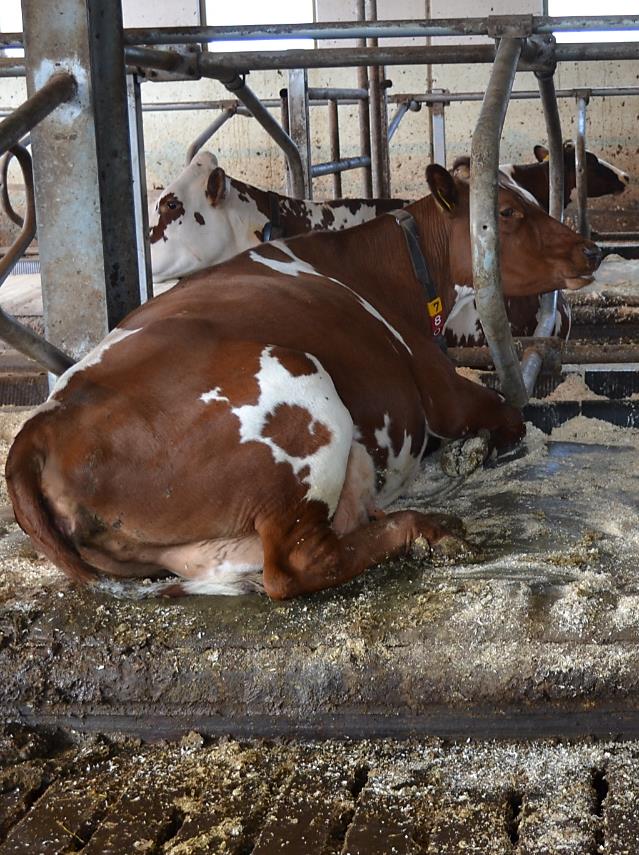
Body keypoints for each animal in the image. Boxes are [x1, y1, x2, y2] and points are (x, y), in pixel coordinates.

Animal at [7, 164, 604, 600]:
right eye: (505, 211)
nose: (591, 249)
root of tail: (38, 431)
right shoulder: (444, 392)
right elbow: (510, 417)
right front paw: (469, 452)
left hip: (198, 550)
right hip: (301, 391)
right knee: (298, 564)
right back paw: (429, 528)